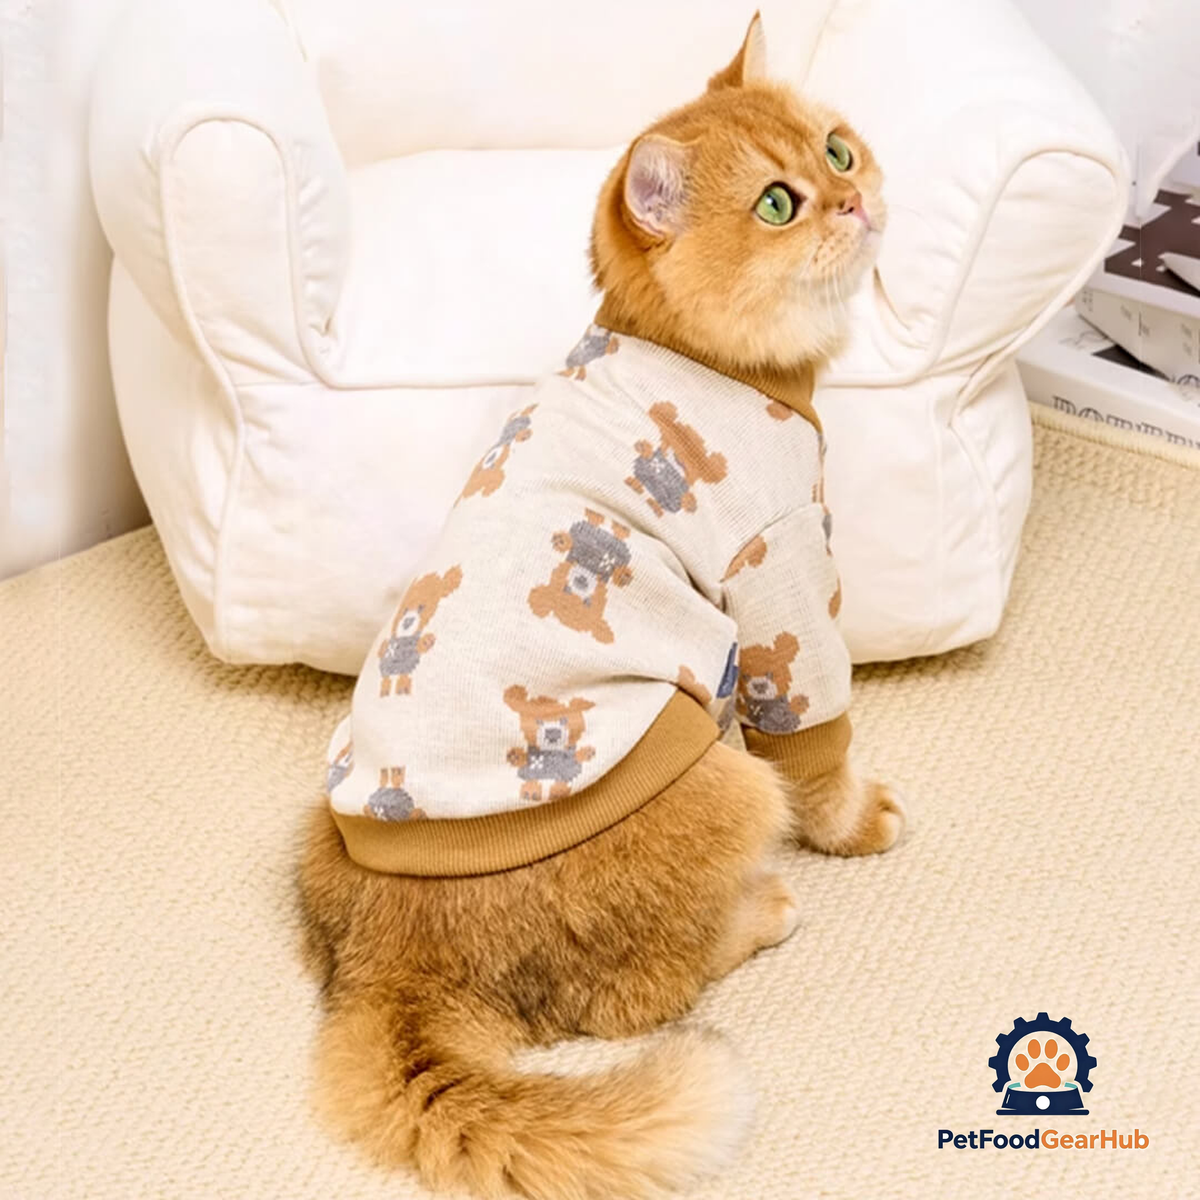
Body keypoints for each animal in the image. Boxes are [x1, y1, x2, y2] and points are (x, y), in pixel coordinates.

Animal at [378, 566, 463, 697]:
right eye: (404, 610)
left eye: (421, 608)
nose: (407, 621)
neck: (403, 638)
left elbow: (421, 646)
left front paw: (427, 640)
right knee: (387, 676)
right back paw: (385, 689)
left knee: (403, 675)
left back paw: (402, 687)